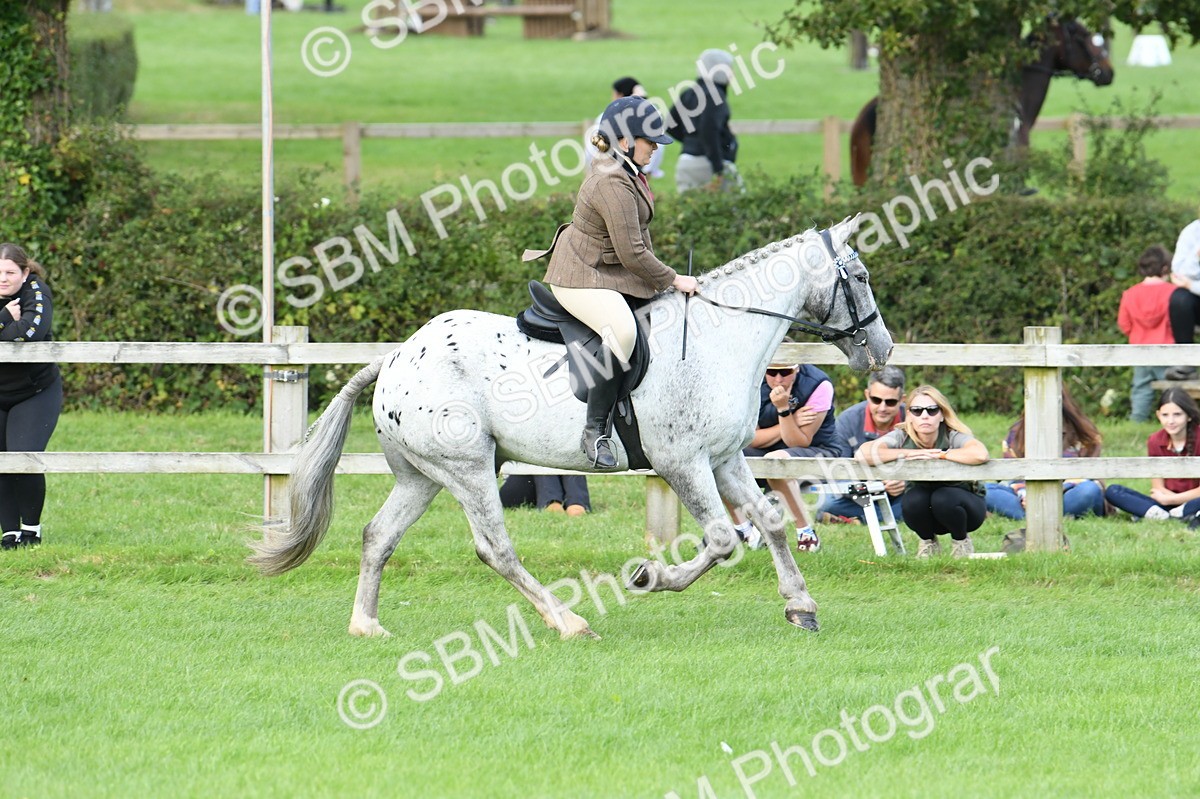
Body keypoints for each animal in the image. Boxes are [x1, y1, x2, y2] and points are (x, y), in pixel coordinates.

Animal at [248, 215, 893, 638]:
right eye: (860, 277)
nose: (882, 350)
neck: (719, 338)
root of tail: (395, 358)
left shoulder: (725, 458)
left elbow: (770, 523)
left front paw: (800, 606)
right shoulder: (682, 462)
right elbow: (720, 540)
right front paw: (648, 577)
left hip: (423, 477)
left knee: (378, 535)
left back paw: (366, 625)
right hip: (469, 468)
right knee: (494, 548)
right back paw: (568, 620)